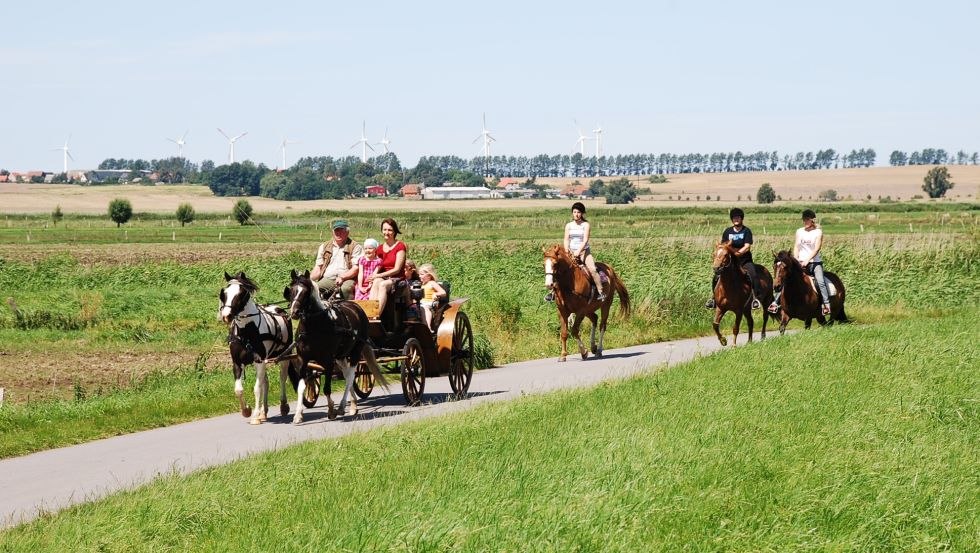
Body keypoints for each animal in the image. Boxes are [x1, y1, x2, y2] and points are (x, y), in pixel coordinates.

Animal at [218, 270, 298, 422]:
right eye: (224, 293)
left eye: (241, 293)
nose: (226, 316)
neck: (246, 332)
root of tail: (279, 309)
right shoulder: (237, 362)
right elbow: (239, 389)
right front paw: (247, 410)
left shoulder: (259, 361)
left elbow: (257, 388)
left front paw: (255, 416)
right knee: (265, 381)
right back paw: (264, 411)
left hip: (284, 356)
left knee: (282, 378)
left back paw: (283, 405)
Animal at [284, 268, 386, 422]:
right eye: (291, 291)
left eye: (305, 292)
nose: (295, 313)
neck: (315, 326)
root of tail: (356, 306)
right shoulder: (303, 360)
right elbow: (302, 386)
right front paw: (298, 415)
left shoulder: (328, 360)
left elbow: (327, 388)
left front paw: (331, 410)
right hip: (341, 356)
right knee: (346, 373)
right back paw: (353, 406)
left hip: (355, 351)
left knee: (350, 377)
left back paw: (343, 406)